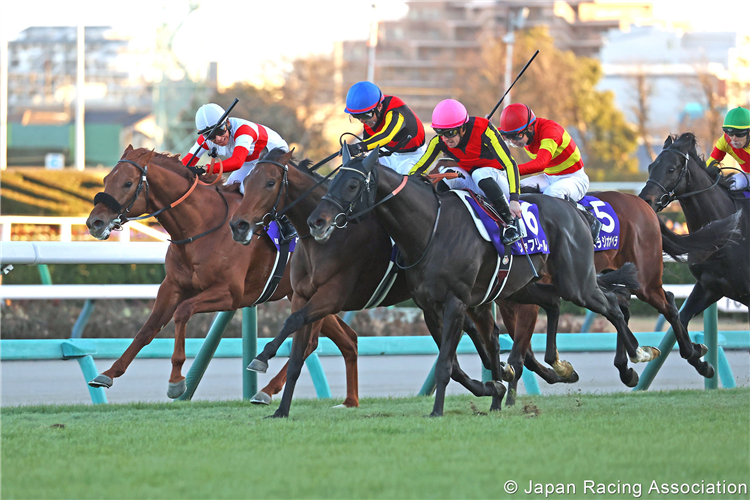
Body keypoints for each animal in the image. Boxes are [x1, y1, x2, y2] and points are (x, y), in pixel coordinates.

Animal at [83, 145, 360, 406]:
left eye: (128, 183)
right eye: (106, 178)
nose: (94, 222)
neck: (202, 226)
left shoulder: (230, 294)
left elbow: (182, 312)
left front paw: (176, 381)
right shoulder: (172, 286)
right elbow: (147, 329)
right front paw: (108, 373)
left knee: (311, 341)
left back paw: (267, 389)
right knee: (347, 339)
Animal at [306, 150, 656, 416]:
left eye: (353, 184)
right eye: (333, 180)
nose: (316, 221)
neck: (430, 229)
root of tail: (577, 209)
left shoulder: (456, 302)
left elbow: (447, 363)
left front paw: (438, 411)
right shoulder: (429, 307)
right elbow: (454, 363)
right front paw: (493, 387)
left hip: (576, 281)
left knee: (611, 305)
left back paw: (636, 357)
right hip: (523, 286)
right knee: (556, 302)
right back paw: (560, 364)